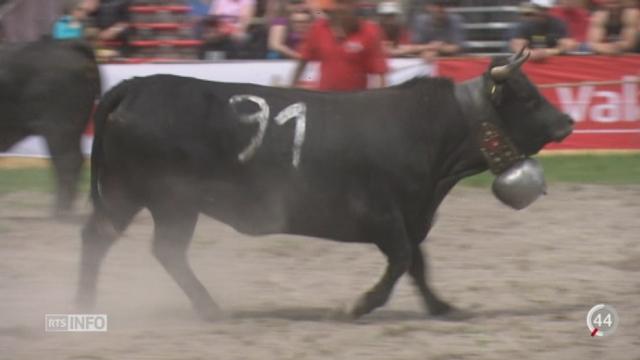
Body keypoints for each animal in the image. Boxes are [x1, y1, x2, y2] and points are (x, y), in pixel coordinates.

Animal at [77, 49, 572, 320]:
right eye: (527, 97)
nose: (567, 121)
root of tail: (137, 86)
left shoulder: (411, 216)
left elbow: (418, 264)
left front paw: (441, 306)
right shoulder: (383, 216)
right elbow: (401, 261)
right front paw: (359, 305)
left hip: (140, 199)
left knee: (118, 241)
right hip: (159, 199)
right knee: (138, 246)